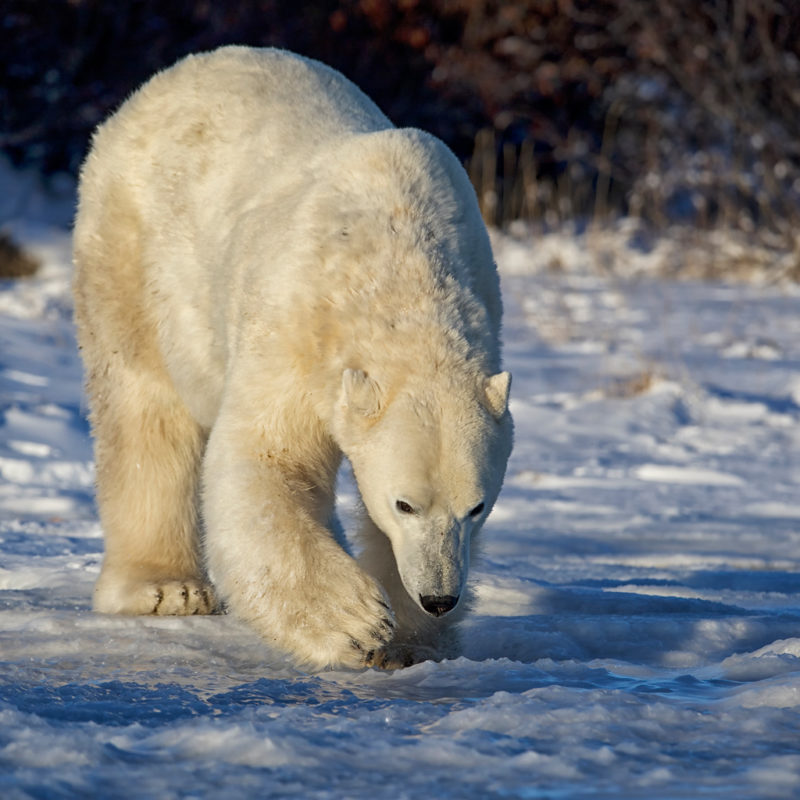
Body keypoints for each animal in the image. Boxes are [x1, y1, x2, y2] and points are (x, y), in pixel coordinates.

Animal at [75, 45, 512, 668]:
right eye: (405, 504)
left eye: (477, 507)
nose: (439, 597)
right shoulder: (298, 322)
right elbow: (268, 459)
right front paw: (356, 623)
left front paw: (406, 642)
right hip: (135, 255)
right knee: (145, 408)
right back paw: (164, 587)